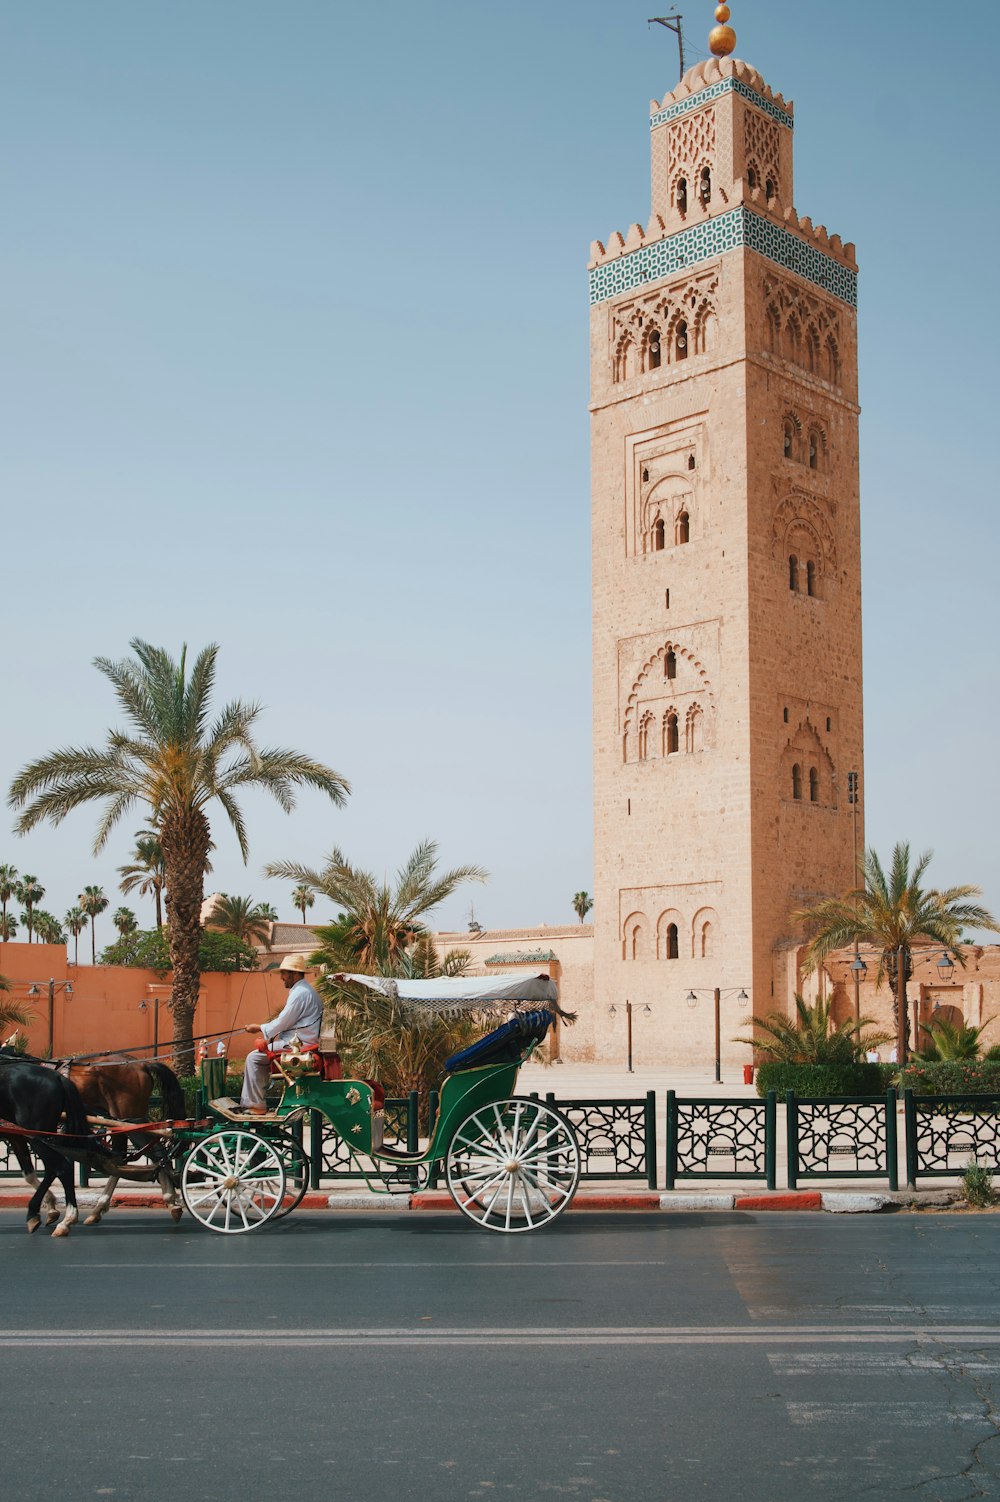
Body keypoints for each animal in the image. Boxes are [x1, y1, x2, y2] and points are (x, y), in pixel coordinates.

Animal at [0, 1051, 93, 1237]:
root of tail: (57, 1076)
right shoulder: (15, 1137)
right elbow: (28, 1173)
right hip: (42, 1133)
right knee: (52, 1168)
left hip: (36, 1134)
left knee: (62, 1167)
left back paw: (67, 1219)